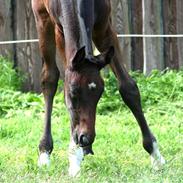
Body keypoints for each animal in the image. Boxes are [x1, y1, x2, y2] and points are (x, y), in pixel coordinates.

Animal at [31, 0, 164, 177]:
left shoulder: (104, 28)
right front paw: (74, 159)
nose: (85, 138)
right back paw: (45, 153)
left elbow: (128, 88)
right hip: (42, 18)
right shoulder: (60, 31)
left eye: (100, 92)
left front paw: (155, 155)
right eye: (73, 92)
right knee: (49, 78)